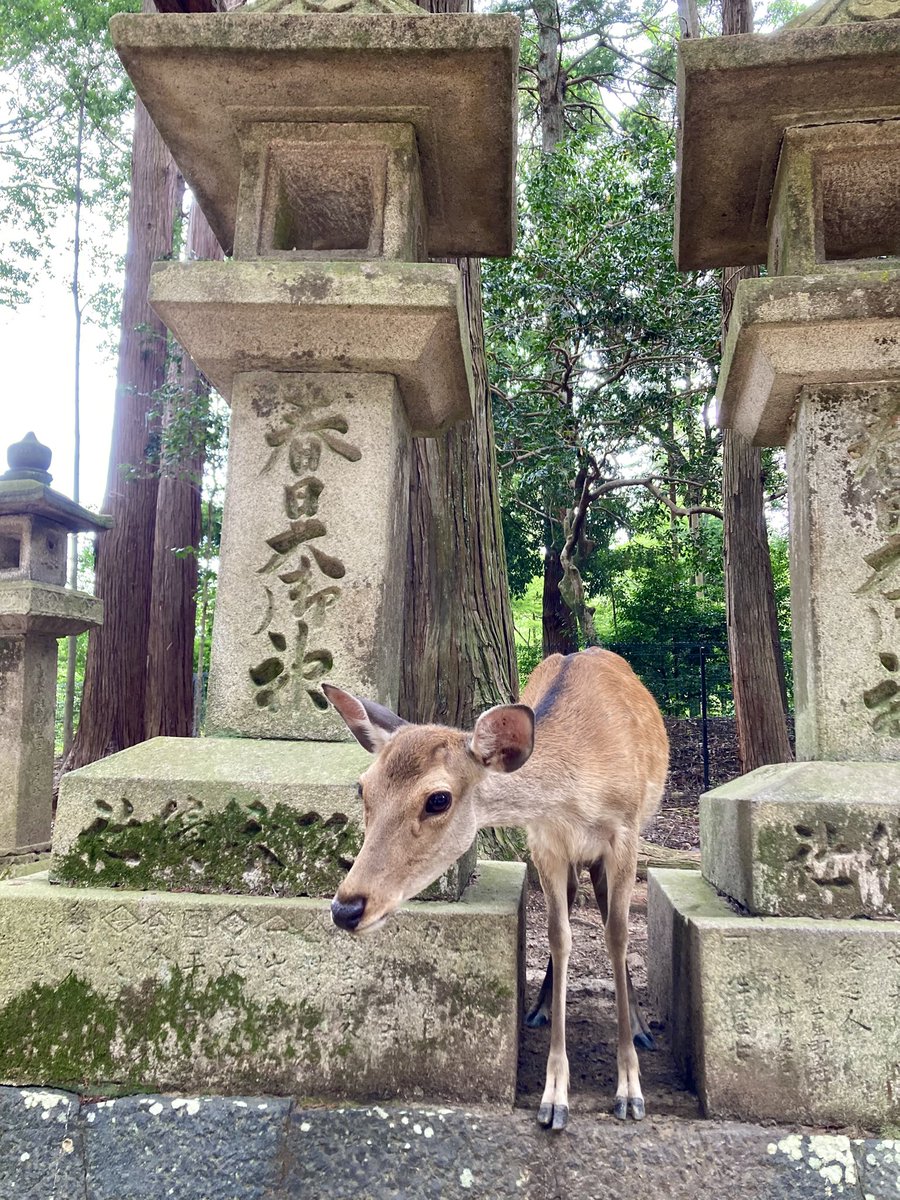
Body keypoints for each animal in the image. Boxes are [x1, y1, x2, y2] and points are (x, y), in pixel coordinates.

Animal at [322, 646, 669, 1131]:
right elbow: (559, 936)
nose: (346, 908)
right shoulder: (544, 841)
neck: (578, 795)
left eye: (438, 799)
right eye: (362, 789)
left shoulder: (625, 833)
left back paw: (638, 1025)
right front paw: (554, 1098)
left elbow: (616, 935)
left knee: (604, 912)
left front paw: (630, 1091)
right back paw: (540, 1008)